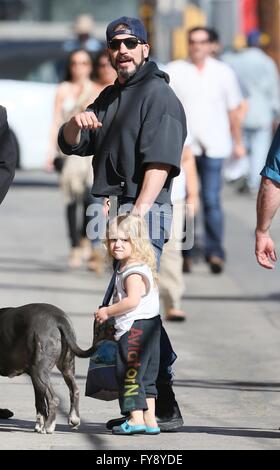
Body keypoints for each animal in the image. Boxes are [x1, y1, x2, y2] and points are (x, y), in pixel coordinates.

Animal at [0, 304, 94, 434]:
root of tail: (59, 317)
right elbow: (40, 404)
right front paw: (39, 425)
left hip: (39, 372)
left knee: (53, 399)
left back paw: (49, 426)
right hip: (64, 369)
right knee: (74, 390)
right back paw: (73, 419)